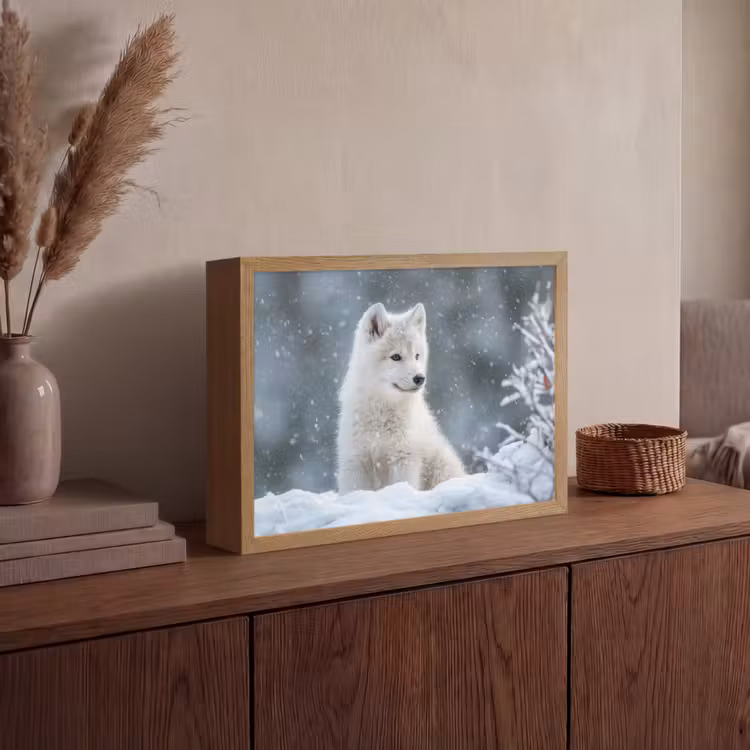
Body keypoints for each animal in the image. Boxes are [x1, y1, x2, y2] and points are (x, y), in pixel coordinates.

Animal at [336, 302, 466, 495]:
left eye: (417, 356)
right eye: (396, 357)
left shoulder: (404, 459)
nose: (420, 378)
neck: (381, 415)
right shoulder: (356, 461)